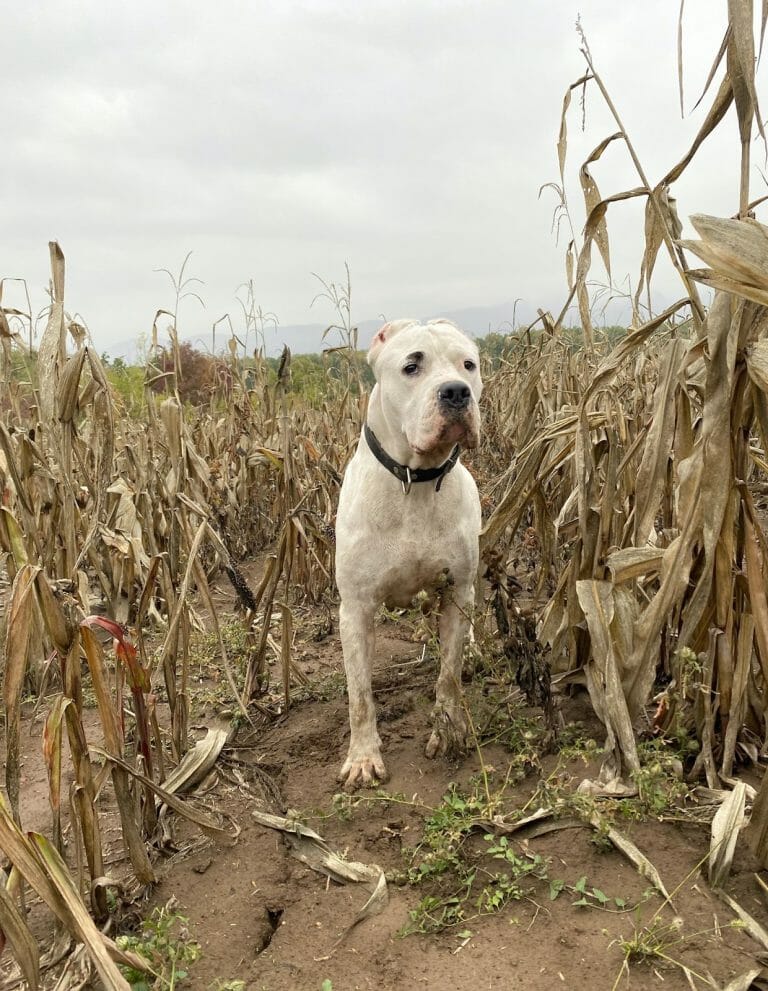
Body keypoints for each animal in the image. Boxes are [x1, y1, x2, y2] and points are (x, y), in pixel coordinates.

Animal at [334, 318, 480, 792]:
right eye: (412, 366)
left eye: (468, 364)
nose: (456, 392)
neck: (416, 481)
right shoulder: (356, 608)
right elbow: (359, 695)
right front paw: (363, 757)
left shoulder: (457, 593)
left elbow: (449, 674)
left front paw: (448, 732)